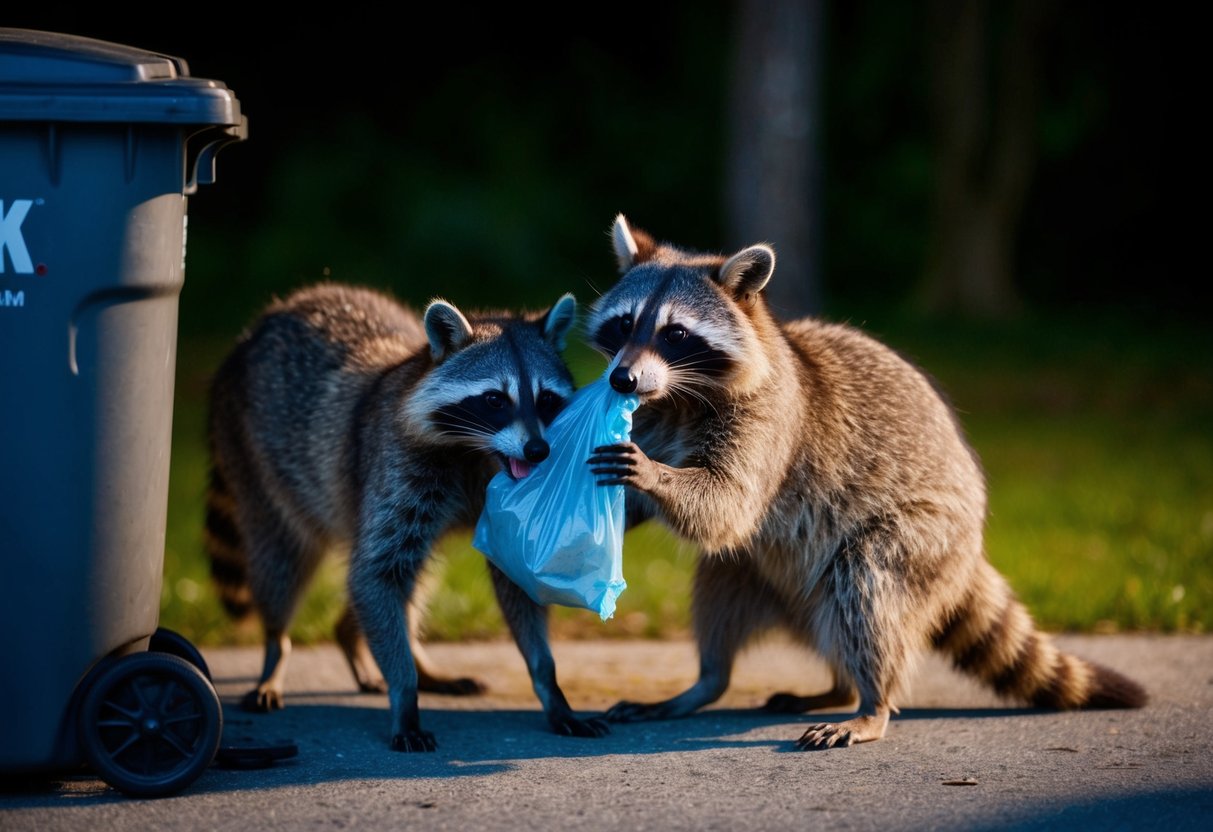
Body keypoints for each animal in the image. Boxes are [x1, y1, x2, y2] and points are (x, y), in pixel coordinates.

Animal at [205, 282, 610, 751]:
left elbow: (513, 573)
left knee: (408, 582)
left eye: (546, 400)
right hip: (253, 458)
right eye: (495, 400)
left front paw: (549, 685)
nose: (538, 451)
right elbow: (375, 573)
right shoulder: (399, 464)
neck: (476, 452)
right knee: (282, 562)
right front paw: (405, 693)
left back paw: (378, 645)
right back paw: (277, 649)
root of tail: (255, 330)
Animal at [586, 215, 1147, 749]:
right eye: (625, 323)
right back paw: (722, 683)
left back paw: (872, 701)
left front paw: (654, 474)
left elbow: (727, 504)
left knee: (867, 589)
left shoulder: (770, 420)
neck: (678, 398)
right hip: (758, 573)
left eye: (676, 334)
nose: (622, 379)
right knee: (721, 592)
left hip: (923, 538)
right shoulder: (652, 416)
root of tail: (971, 547)